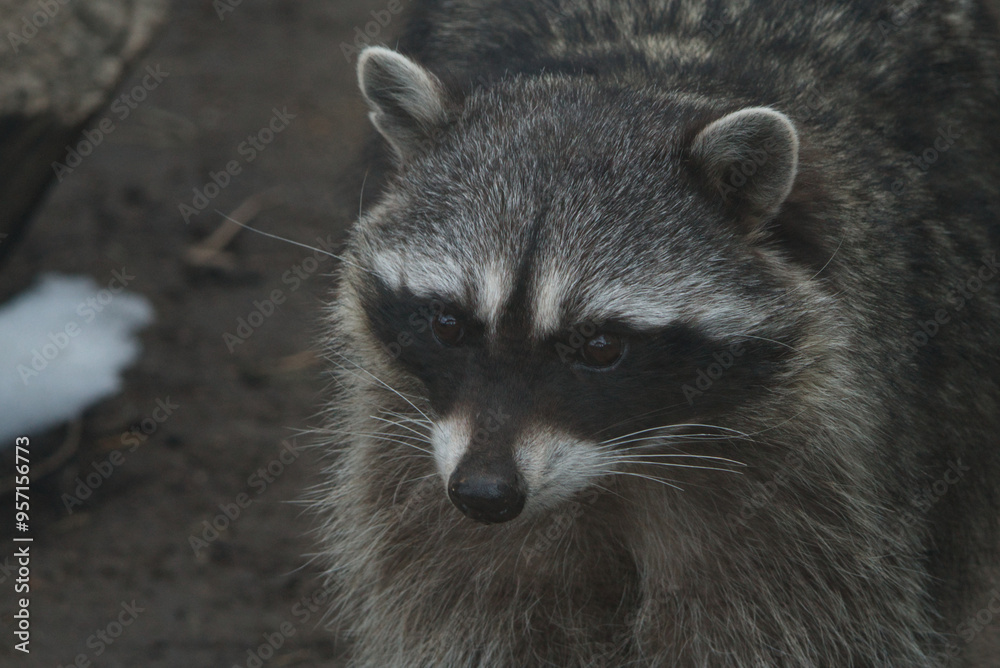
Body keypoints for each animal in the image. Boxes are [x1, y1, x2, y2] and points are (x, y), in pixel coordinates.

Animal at [315, 1, 1000, 665]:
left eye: (600, 347)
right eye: (448, 324)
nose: (485, 495)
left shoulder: (815, 481)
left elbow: (777, 629)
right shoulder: (410, 460)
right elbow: (481, 614)